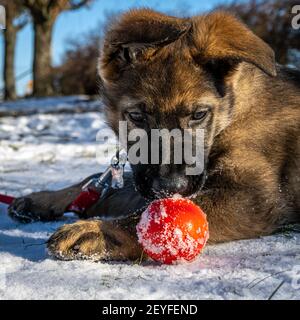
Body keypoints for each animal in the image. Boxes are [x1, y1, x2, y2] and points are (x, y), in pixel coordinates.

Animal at [8, 10, 298, 262]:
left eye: (199, 114)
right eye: (136, 116)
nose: (170, 187)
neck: (232, 116)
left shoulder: (254, 196)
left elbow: (145, 215)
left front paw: (98, 231)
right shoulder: (146, 181)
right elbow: (102, 184)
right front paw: (44, 198)